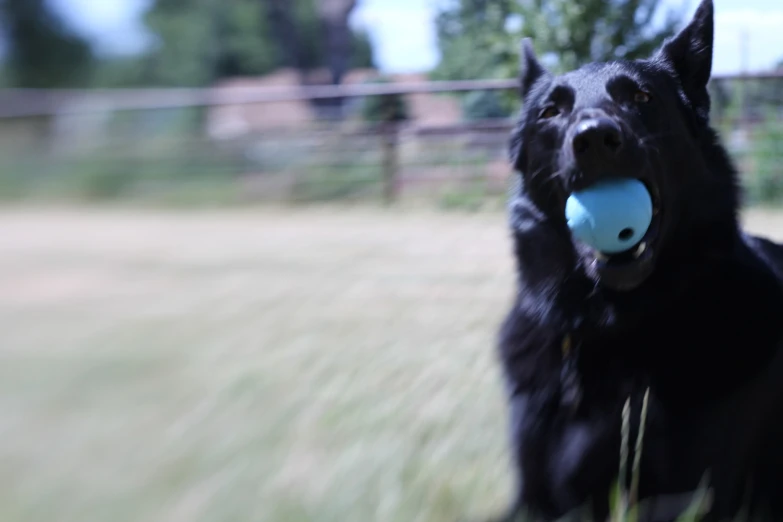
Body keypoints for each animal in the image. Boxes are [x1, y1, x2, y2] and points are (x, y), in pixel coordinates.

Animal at [496, 1, 783, 520]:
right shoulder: (534, 499)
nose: (593, 138)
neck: (612, 328)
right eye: (552, 111)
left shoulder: (692, 498)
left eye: (642, 97)